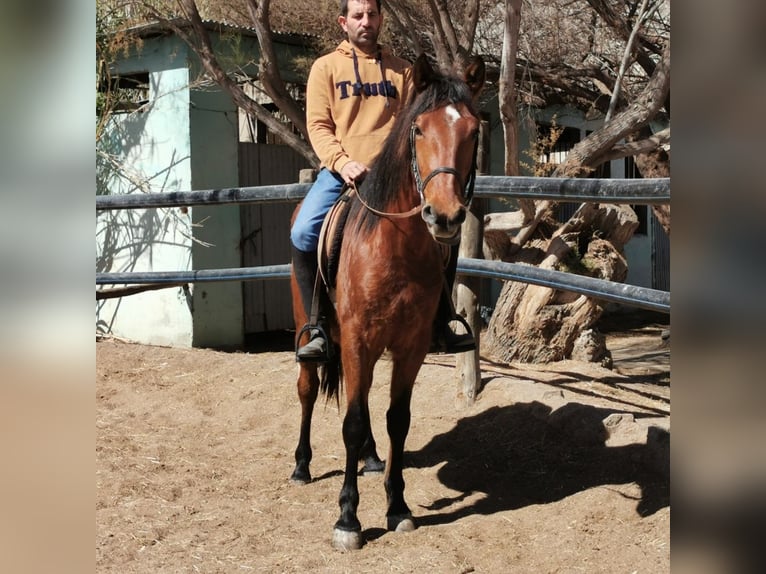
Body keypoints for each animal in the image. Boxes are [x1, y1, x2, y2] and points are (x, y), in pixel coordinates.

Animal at [290, 54, 486, 552]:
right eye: (418, 129)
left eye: (473, 130)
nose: (444, 216)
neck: (394, 247)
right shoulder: (357, 339)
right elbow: (353, 422)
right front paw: (348, 518)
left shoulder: (410, 345)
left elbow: (397, 418)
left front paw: (397, 506)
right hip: (313, 334)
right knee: (307, 389)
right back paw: (301, 465)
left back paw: (372, 458)